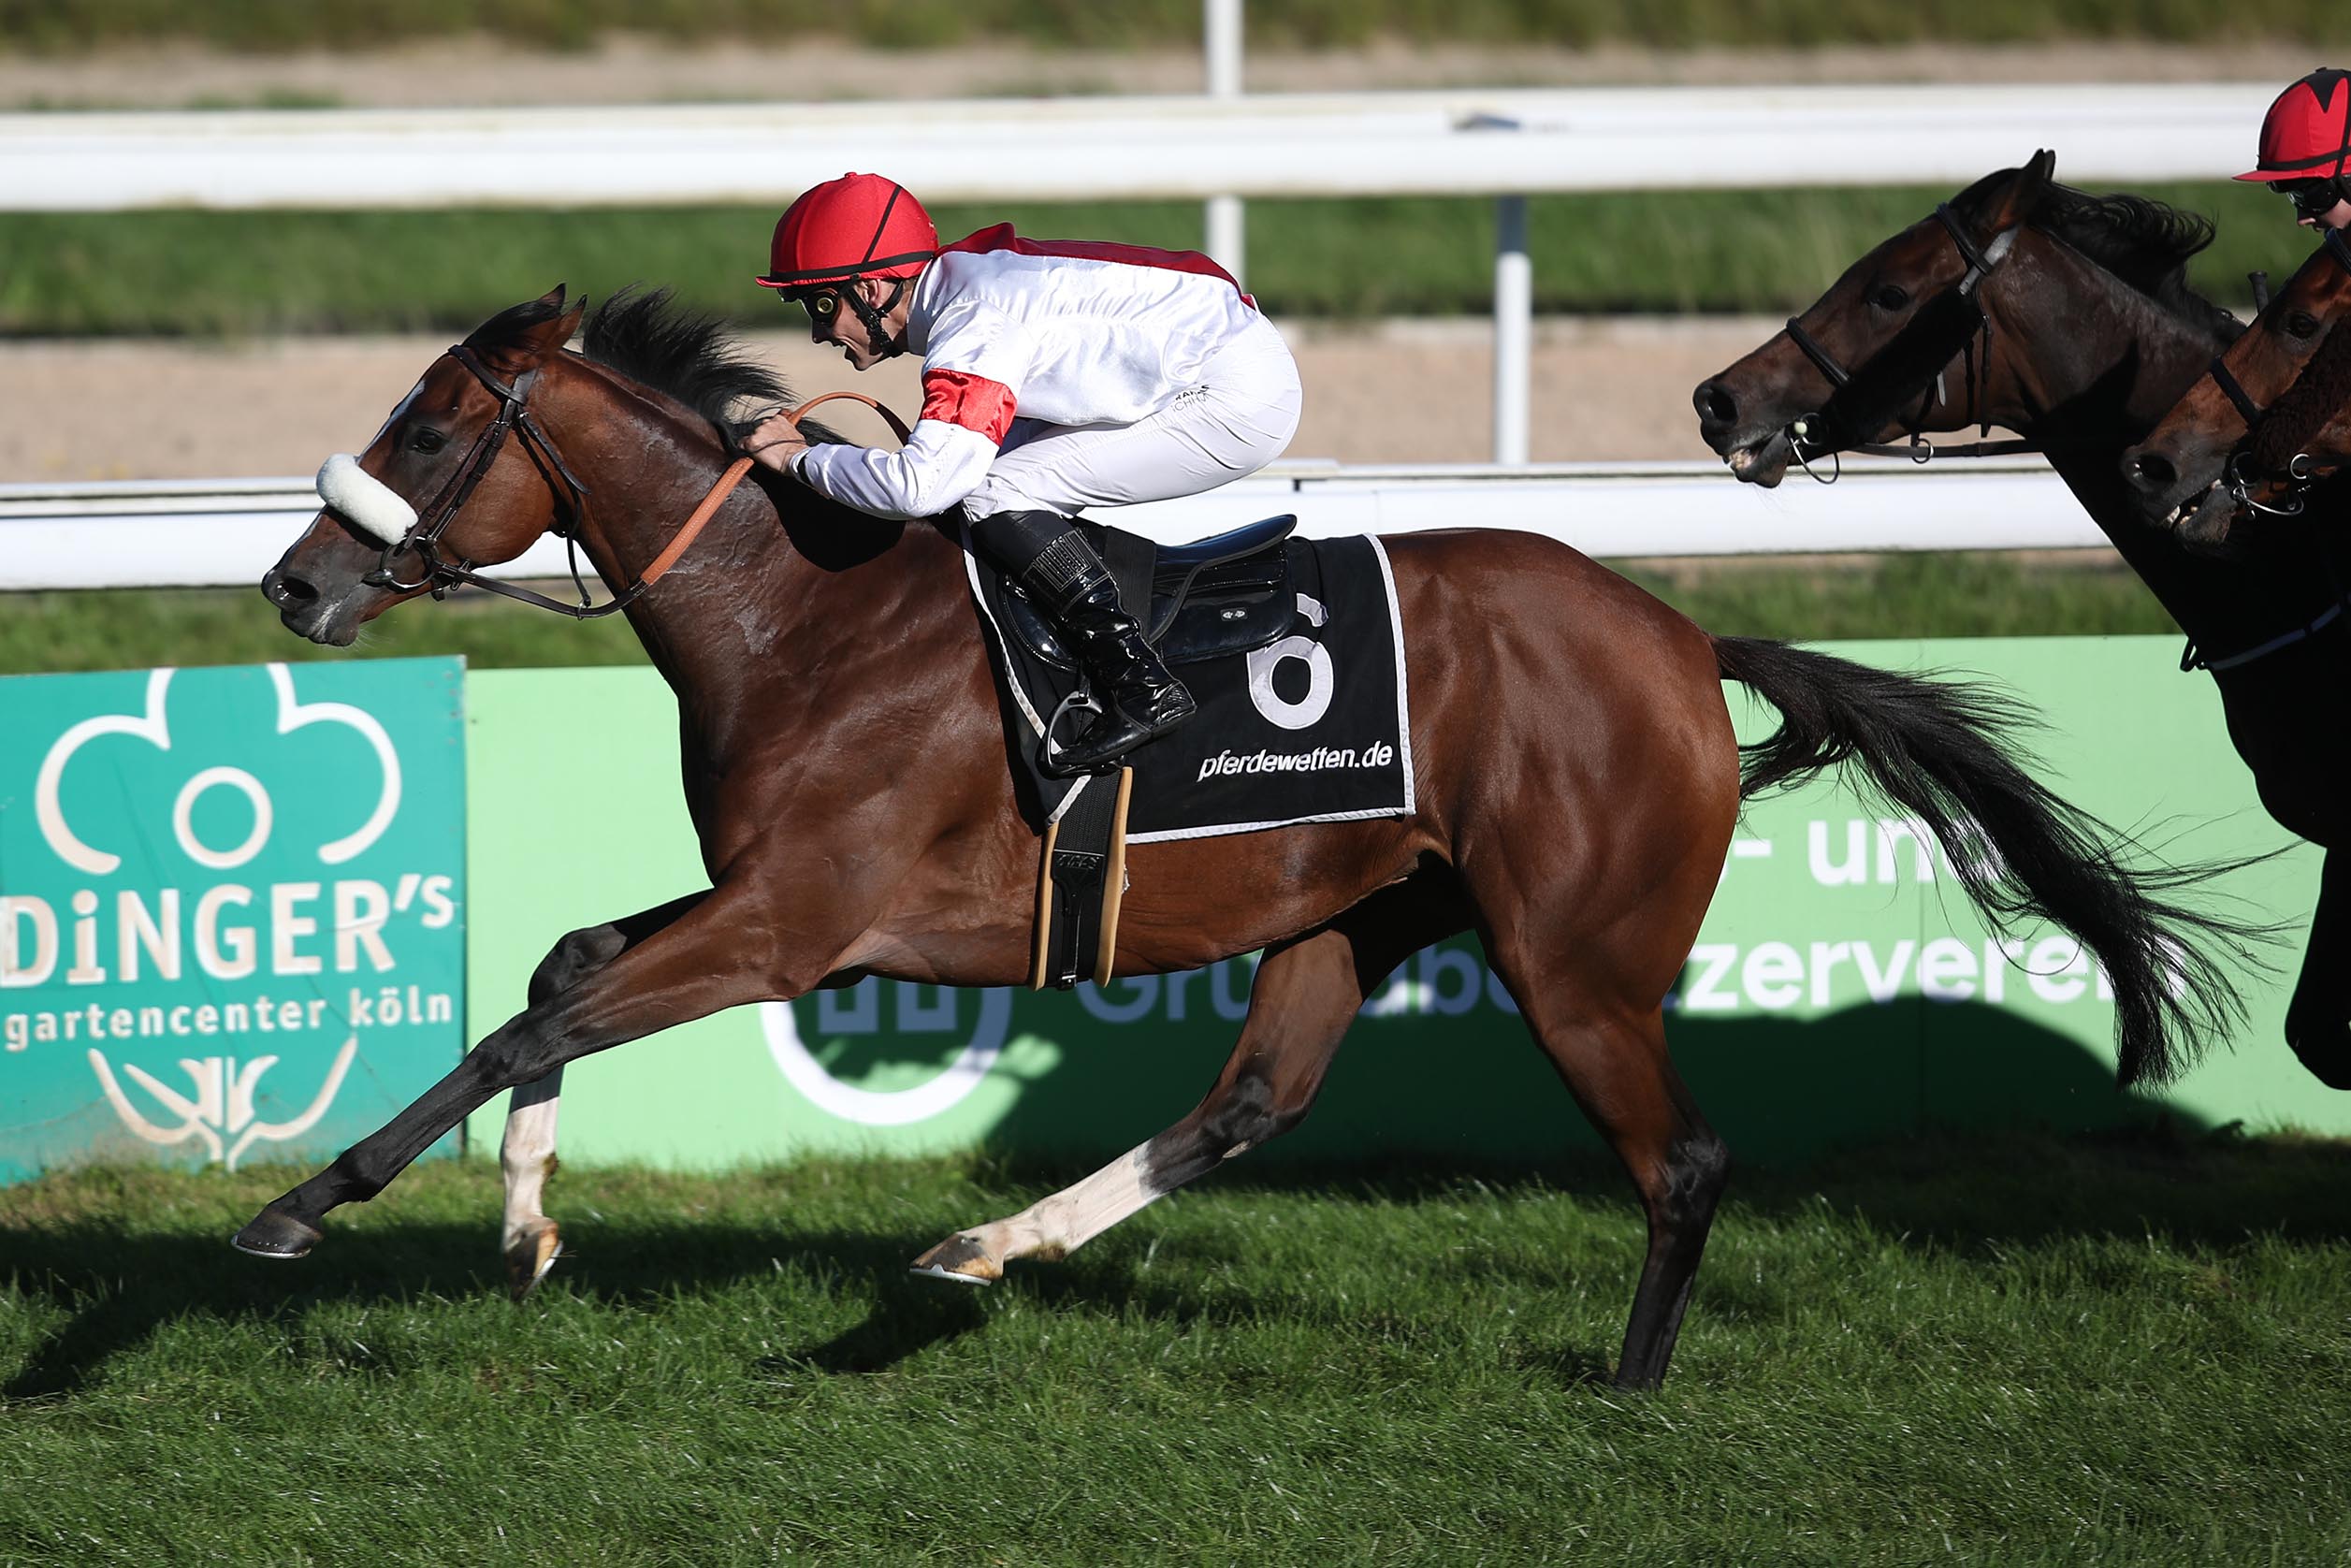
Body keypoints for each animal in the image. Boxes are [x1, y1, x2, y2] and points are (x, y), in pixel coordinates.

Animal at [248, 282, 2247, 1382]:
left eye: (422, 429)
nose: (294, 586)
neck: (795, 612)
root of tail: (1684, 639)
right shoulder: (764, 899)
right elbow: (561, 969)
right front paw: (524, 1227)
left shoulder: (795, 924)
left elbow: (545, 1011)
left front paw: (305, 1206)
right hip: (1356, 913)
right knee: (1249, 1103)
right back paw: (978, 1252)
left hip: (1576, 960)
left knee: (1678, 1159)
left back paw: (1625, 1383)